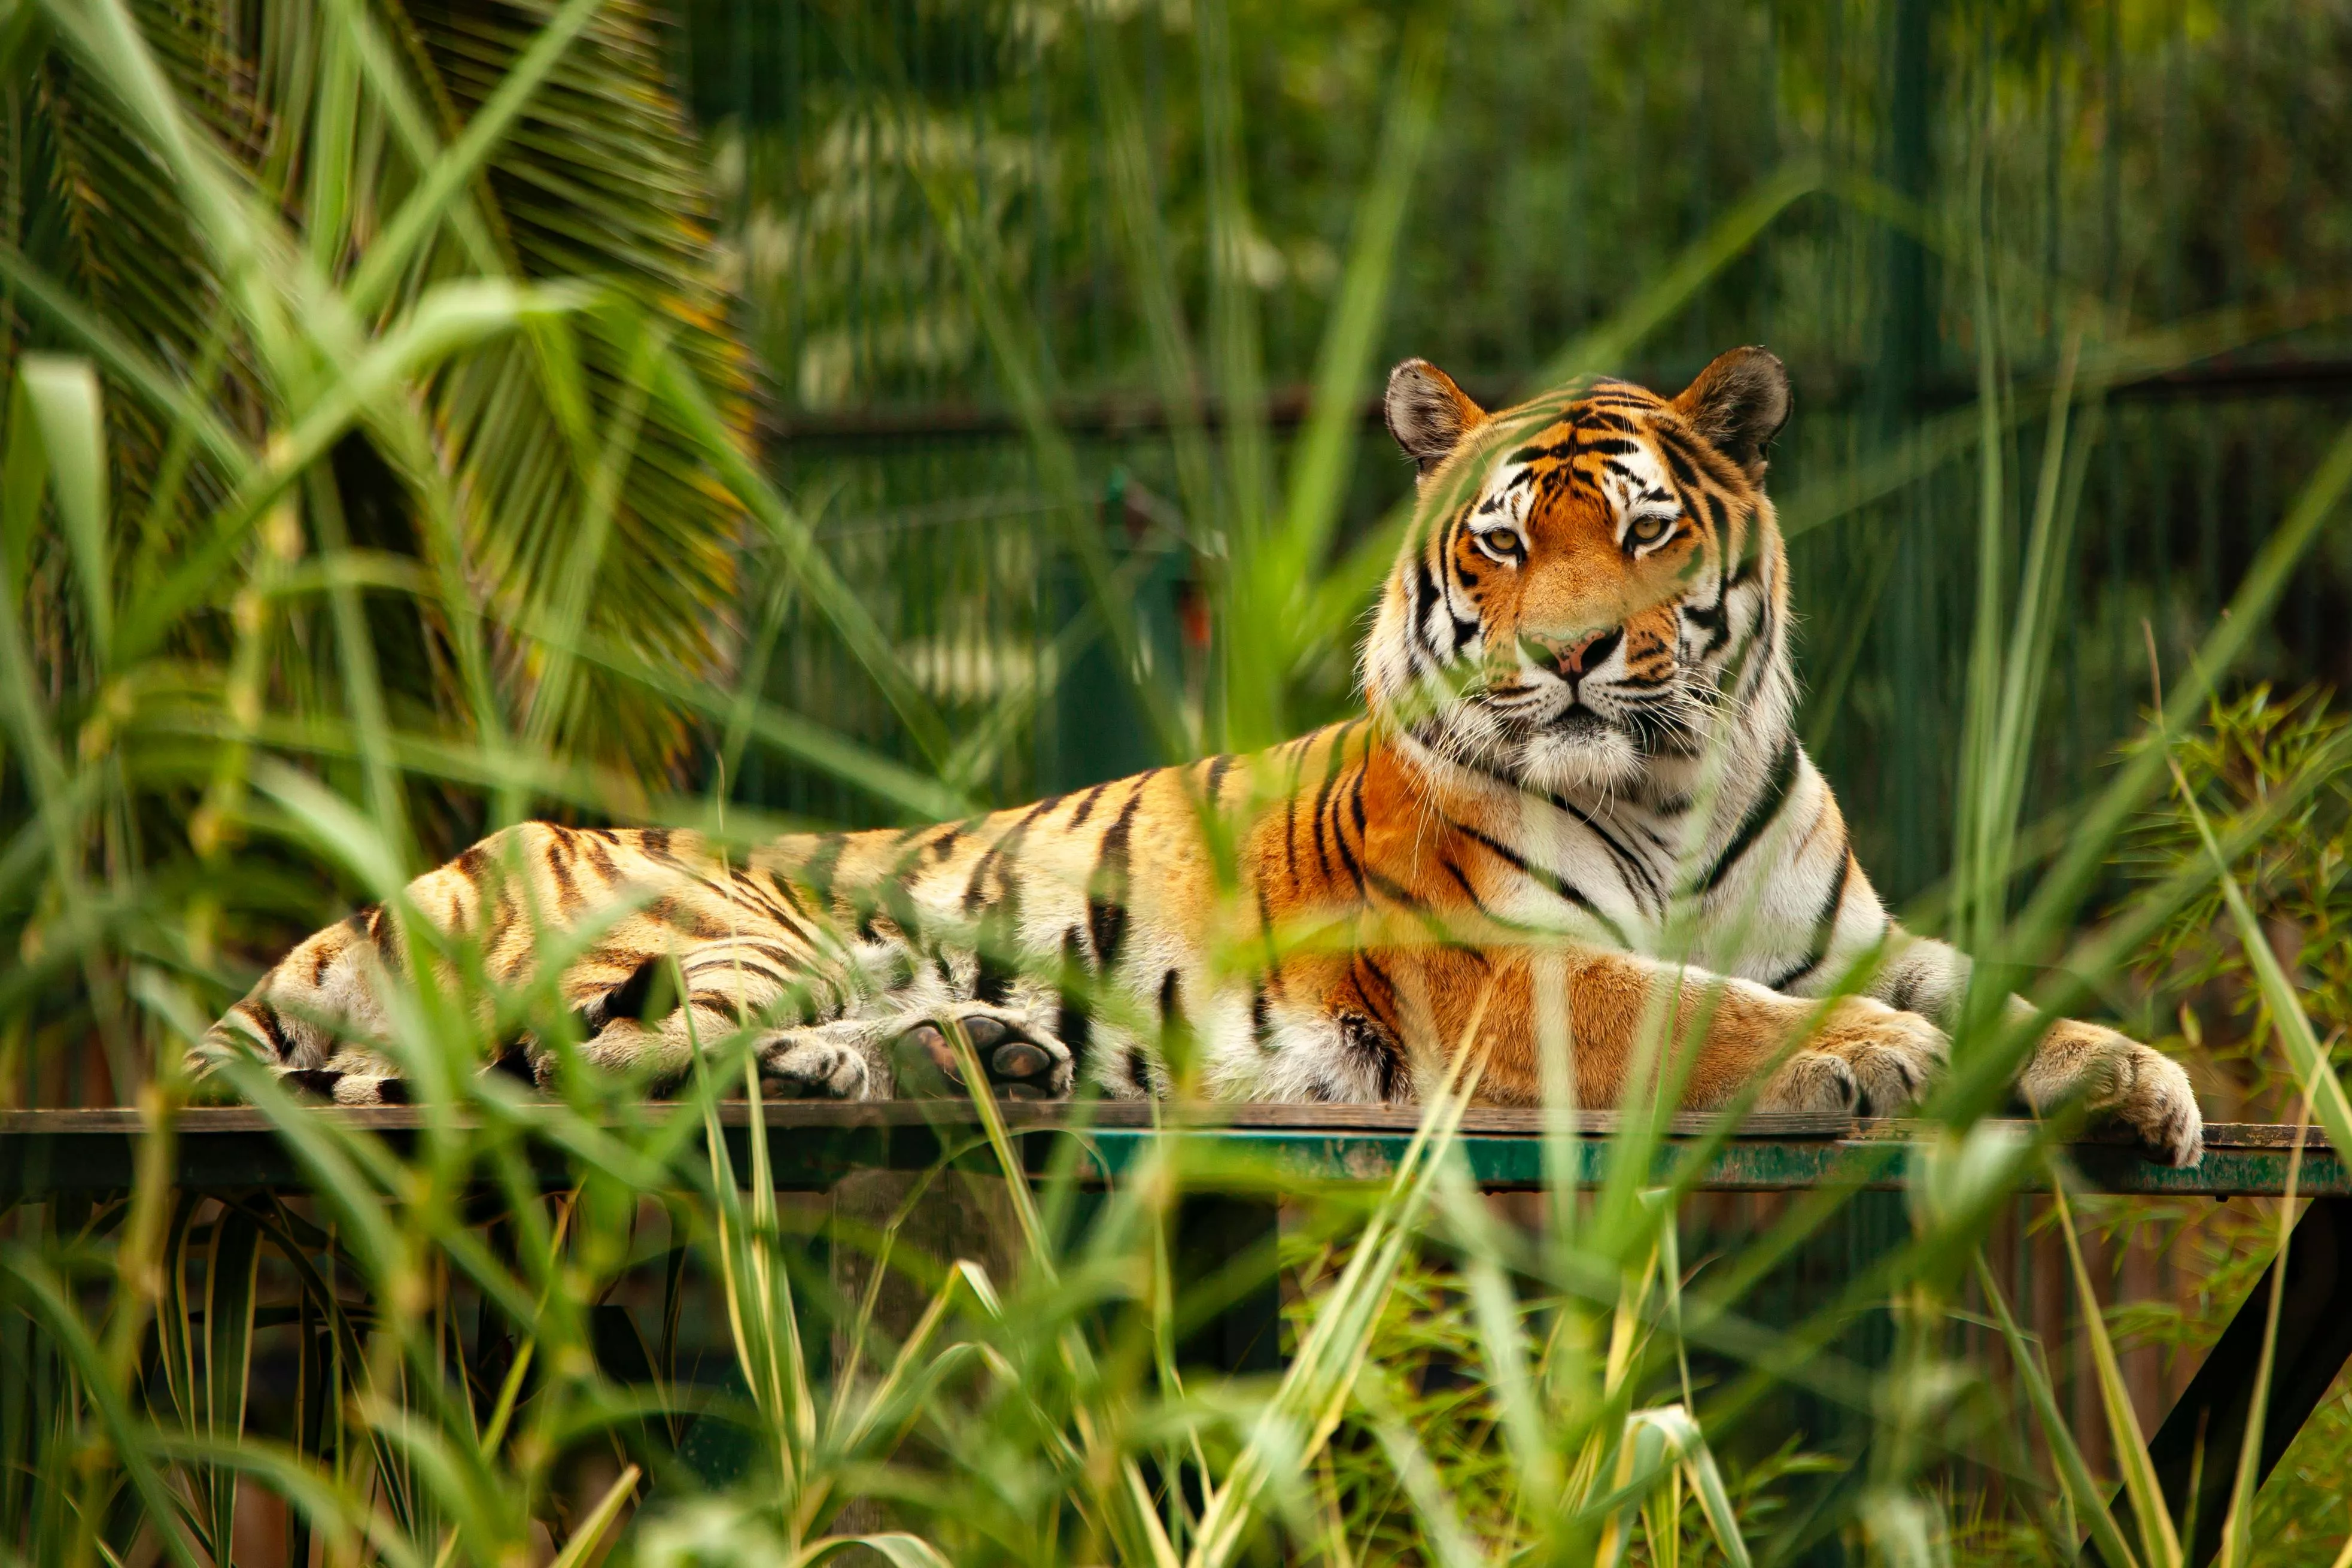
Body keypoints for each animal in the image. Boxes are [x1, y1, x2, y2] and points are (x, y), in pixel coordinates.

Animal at [194, 346, 2203, 1166]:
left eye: (1638, 536)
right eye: (1499, 543)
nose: (1560, 660)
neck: (1676, 778)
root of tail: (343, 915)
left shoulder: (1847, 924)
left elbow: (2004, 988)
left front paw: (2136, 1078)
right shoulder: (1515, 976)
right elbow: (1713, 1013)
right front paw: (1867, 1060)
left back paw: (955, 1055)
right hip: (713, 923)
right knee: (587, 1065)